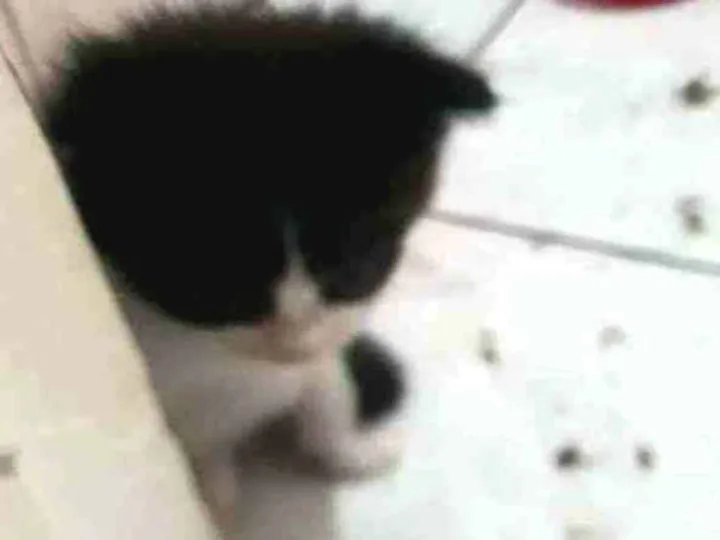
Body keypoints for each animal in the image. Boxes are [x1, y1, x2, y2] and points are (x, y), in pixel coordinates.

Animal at [42, 4, 496, 536]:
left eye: (358, 262)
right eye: (211, 286)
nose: (292, 341)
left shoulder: (325, 349)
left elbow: (329, 395)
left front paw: (351, 453)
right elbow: (202, 456)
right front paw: (214, 505)